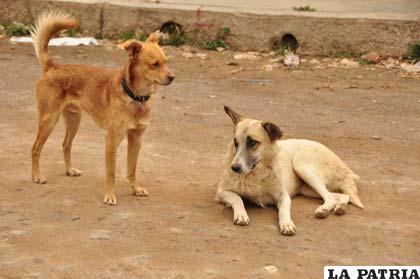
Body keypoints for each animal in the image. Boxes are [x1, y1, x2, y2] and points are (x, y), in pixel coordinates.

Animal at [30, 12, 174, 205]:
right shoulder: (112, 140)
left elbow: (132, 169)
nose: (172, 77)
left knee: (66, 145)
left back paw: (69, 170)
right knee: (35, 149)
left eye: (166, 62)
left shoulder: (136, 139)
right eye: (154, 64)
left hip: (74, 120)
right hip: (49, 120)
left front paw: (135, 189)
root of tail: (53, 66)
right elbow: (111, 172)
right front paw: (110, 195)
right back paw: (36, 176)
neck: (134, 96)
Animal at [215, 106, 362, 236]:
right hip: (307, 189)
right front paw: (241, 214)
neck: (257, 173)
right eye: (236, 143)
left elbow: (284, 211)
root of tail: (347, 169)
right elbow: (237, 198)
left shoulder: (283, 196)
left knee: (330, 197)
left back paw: (324, 209)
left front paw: (286, 224)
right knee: (341, 195)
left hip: (301, 164)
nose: (234, 168)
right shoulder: (221, 191)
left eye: (252, 142)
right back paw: (340, 206)